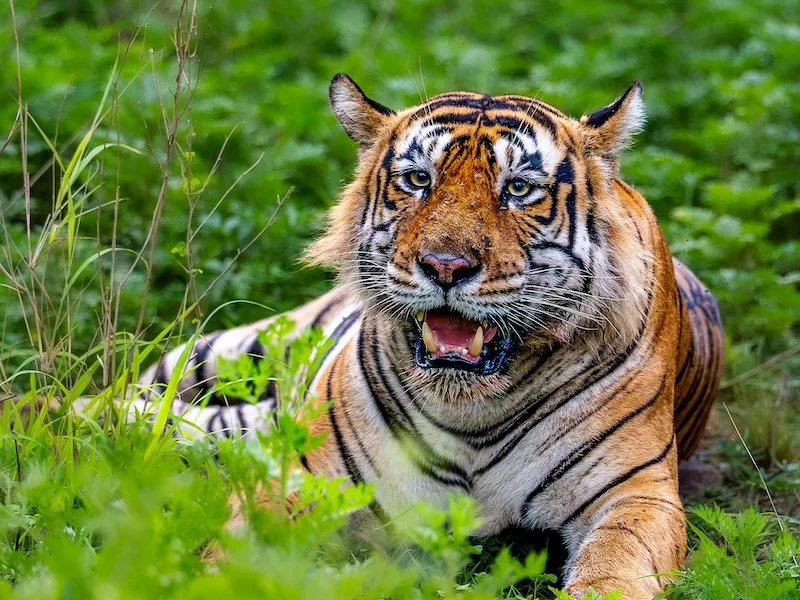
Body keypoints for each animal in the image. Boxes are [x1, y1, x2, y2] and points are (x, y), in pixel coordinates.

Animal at [131, 74, 724, 599]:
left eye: (518, 188)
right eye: (418, 180)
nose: (445, 265)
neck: (472, 411)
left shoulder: (635, 494)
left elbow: (616, 565)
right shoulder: (298, 476)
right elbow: (230, 553)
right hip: (232, 353)